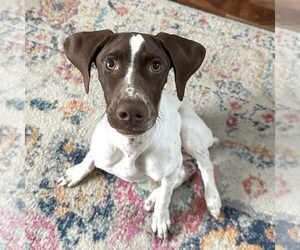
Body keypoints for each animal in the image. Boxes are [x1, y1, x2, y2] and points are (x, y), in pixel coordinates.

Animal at [58, 30, 221, 239]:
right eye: (110, 63)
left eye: (156, 66)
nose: (131, 112)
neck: (130, 146)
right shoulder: (100, 148)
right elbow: (89, 158)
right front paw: (76, 172)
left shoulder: (170, 168)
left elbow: (166, 197)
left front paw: (161, 219)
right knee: (188, 168)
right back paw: (154, 196)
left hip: (188, 131)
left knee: (204, 164)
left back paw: (212, 199)